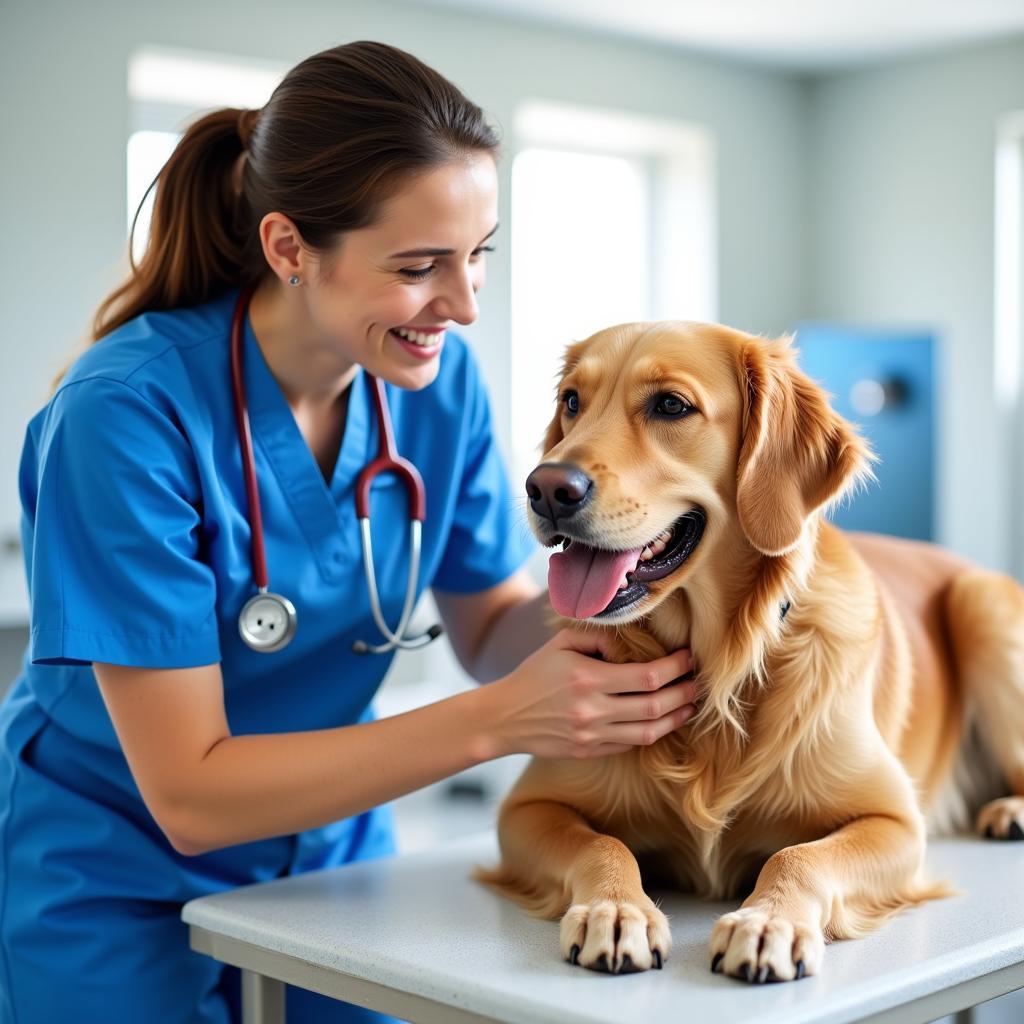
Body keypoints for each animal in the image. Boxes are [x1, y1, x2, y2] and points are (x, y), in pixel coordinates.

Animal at [477, 319, 1024, 983]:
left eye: (670, 405)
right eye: (572, 402)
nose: (546, 488)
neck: (719, 667)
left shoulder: (895, 820)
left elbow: (796, 856)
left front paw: (767, 922)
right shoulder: (528, 808)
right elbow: (602, 842)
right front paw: (616, 909)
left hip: (980, 602)